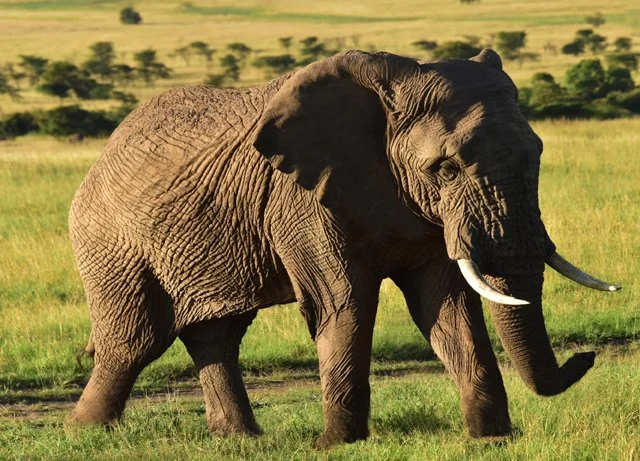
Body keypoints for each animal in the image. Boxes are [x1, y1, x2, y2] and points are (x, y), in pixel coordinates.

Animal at [67, 48, 620, 447]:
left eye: (538, 153)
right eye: (445, 169)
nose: (585, 356)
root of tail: (103, 154)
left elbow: (446, 306)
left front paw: (490, 440)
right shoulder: (300, 200)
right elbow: (344, 303)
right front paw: (335, 446)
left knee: (216, 335)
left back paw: (241, 440)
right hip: (110, 241)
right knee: (134, 339)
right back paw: (85, 432)